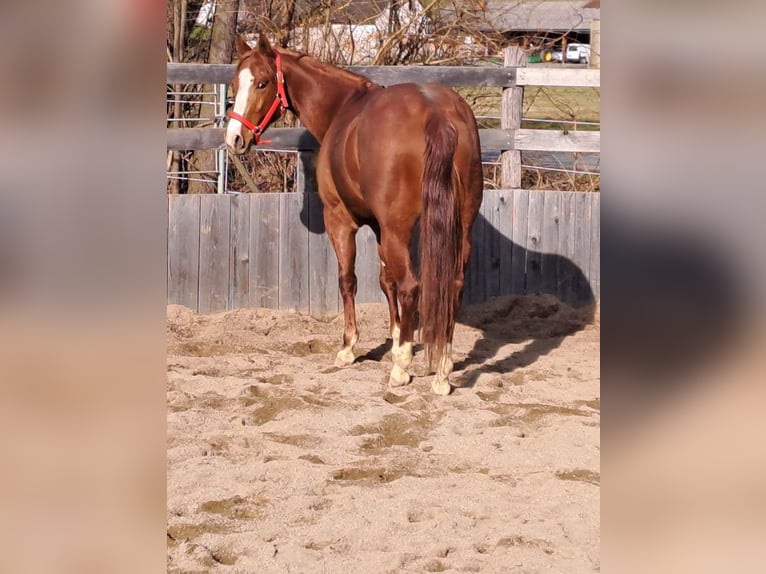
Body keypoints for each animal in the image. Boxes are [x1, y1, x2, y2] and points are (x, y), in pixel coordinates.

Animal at [225, 36, 484, 396]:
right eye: (236, 84)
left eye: (262, 83)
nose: (235, 138)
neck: (342, 108)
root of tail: (436, 113)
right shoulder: (378, 226)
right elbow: (385, 280)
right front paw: (395, 337)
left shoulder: (340, 220)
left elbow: (348, 280)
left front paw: (350, 347)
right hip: (461, 227)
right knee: (453, 284)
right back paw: (443, 369)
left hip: (399, 229)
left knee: (411, 286)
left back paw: (401, 370)